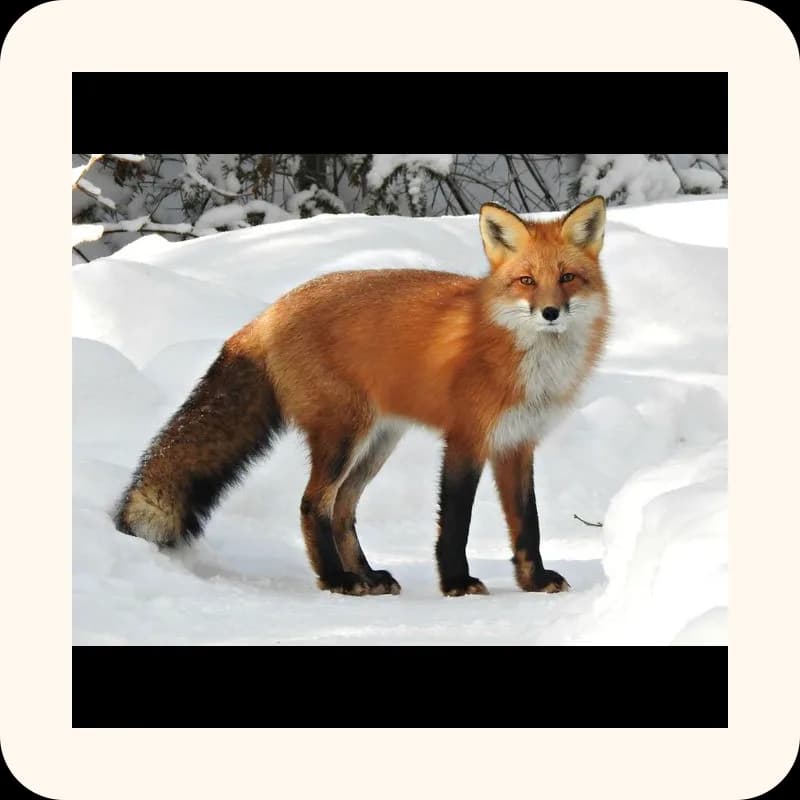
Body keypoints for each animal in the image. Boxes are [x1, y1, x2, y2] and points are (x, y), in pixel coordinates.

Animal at [114, 196, 610, 597]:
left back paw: (366, 575)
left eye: (568, 277)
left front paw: (534, 581)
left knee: (342, 509)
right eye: (527, 280)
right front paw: (455, 582)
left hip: (377, 443)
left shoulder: (516, 444)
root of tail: (267, 315)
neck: (523, 358)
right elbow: (456, 522)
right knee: (313, 505)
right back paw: (337, 580)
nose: (550, 312)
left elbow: (528, 524)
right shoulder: (465, 439)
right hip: (344, 436)